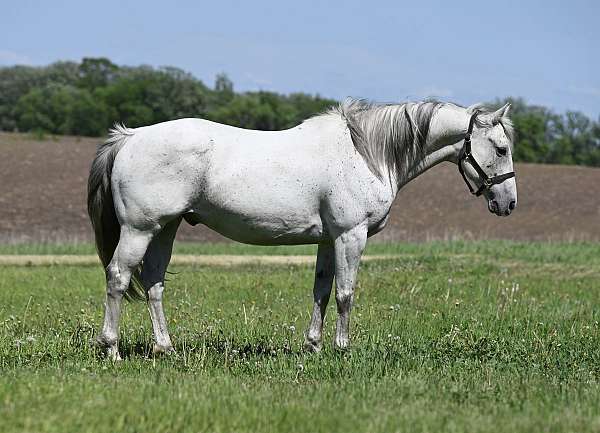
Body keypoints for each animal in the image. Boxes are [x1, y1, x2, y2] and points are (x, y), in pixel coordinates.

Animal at [88, 99, 516, 360]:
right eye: (500, 148)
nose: (508, 203)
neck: (366, 154)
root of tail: (129, 137)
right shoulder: (350, 235)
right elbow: (345, 294)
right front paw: (342, 349)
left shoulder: (329, 239)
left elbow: (322, 292)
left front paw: (314, 346)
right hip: (140, 229)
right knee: (119, 277)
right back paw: (112, 349)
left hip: (166, 228)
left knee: (154, 283)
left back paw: (165, 349)